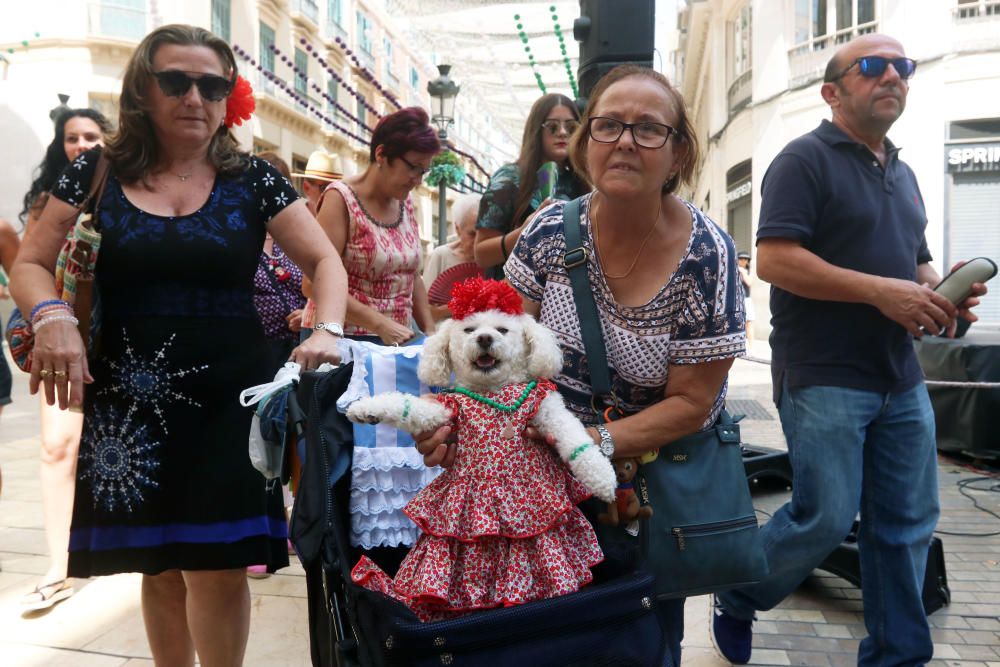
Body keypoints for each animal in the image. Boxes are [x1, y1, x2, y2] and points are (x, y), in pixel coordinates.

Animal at [350, 308, 616, 500]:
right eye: (469, 329)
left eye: (502, 330)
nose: (485, 338)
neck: (493, 390)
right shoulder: (447, 407)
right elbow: (410, 407)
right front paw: (366, 409)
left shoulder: (547, 407)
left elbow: (573, 436)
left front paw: (603, 478)